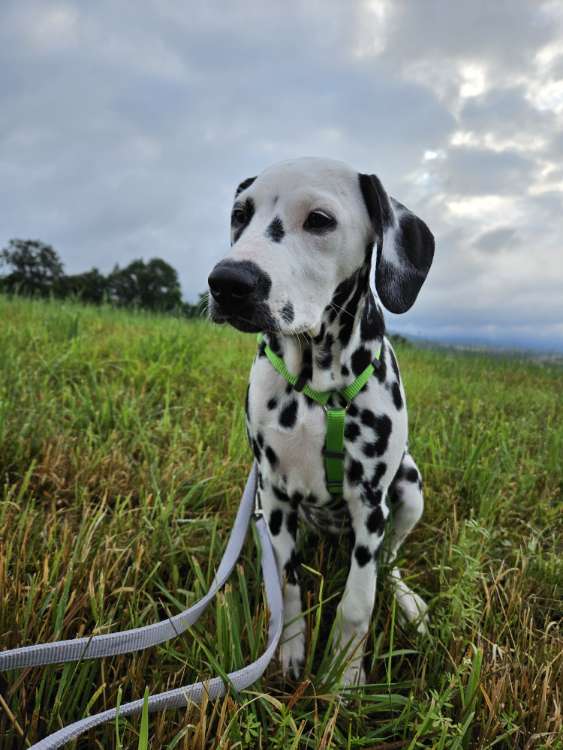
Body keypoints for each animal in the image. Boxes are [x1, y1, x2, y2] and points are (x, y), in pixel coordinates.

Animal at [209, 157, 434, 688]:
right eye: (240, 214)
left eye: (319, 220)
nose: (227, 282)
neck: (318, 388)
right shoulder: (274, 495)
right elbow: (288, 586)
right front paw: (291, 651)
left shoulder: (370, 504)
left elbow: (358, 600)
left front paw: (344, 675)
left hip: (409, 489)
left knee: (390, 563)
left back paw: (409, 604)